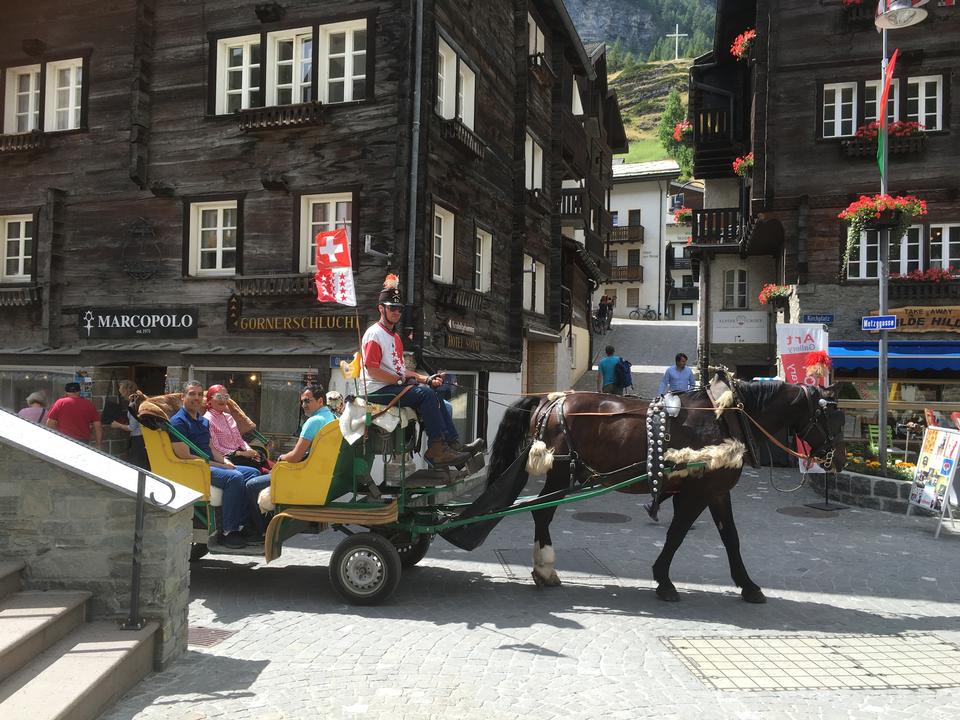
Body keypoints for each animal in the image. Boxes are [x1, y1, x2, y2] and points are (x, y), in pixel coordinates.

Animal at [462, 380, 844, 604]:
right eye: (832, 419)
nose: (837, 460)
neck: (726, 418)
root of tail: (549, 400)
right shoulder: (696, 493)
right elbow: (676, 534)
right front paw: (664, 580)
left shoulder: (717, 491)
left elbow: (731, 538)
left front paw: (747, 585)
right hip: (558, 471)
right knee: (542, 512)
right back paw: (544, 569)